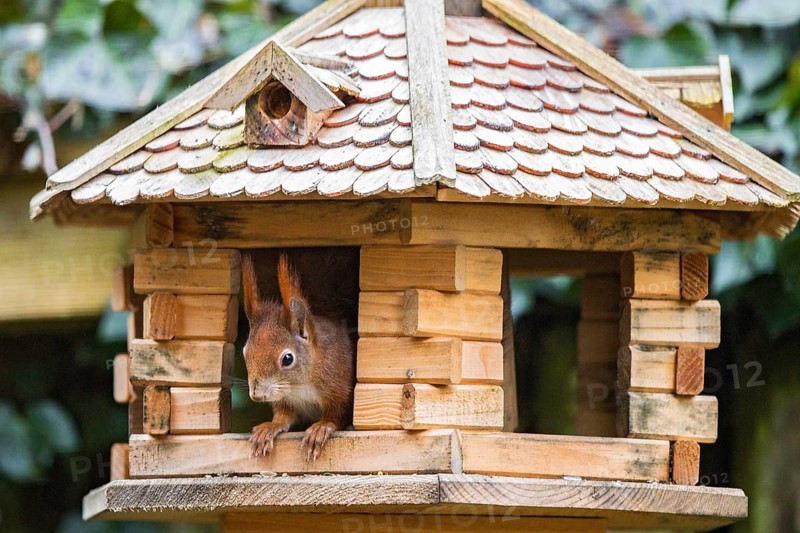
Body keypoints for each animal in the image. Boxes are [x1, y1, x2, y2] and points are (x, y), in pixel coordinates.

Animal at [241, 253, 355, 461]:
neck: (299, 385)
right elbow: (284, 416)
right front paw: (270, 427)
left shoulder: (340, 390)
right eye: (245, 352)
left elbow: (337, 415)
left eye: (287, 359)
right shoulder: (285, 400)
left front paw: (322, 427)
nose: (257, 395)